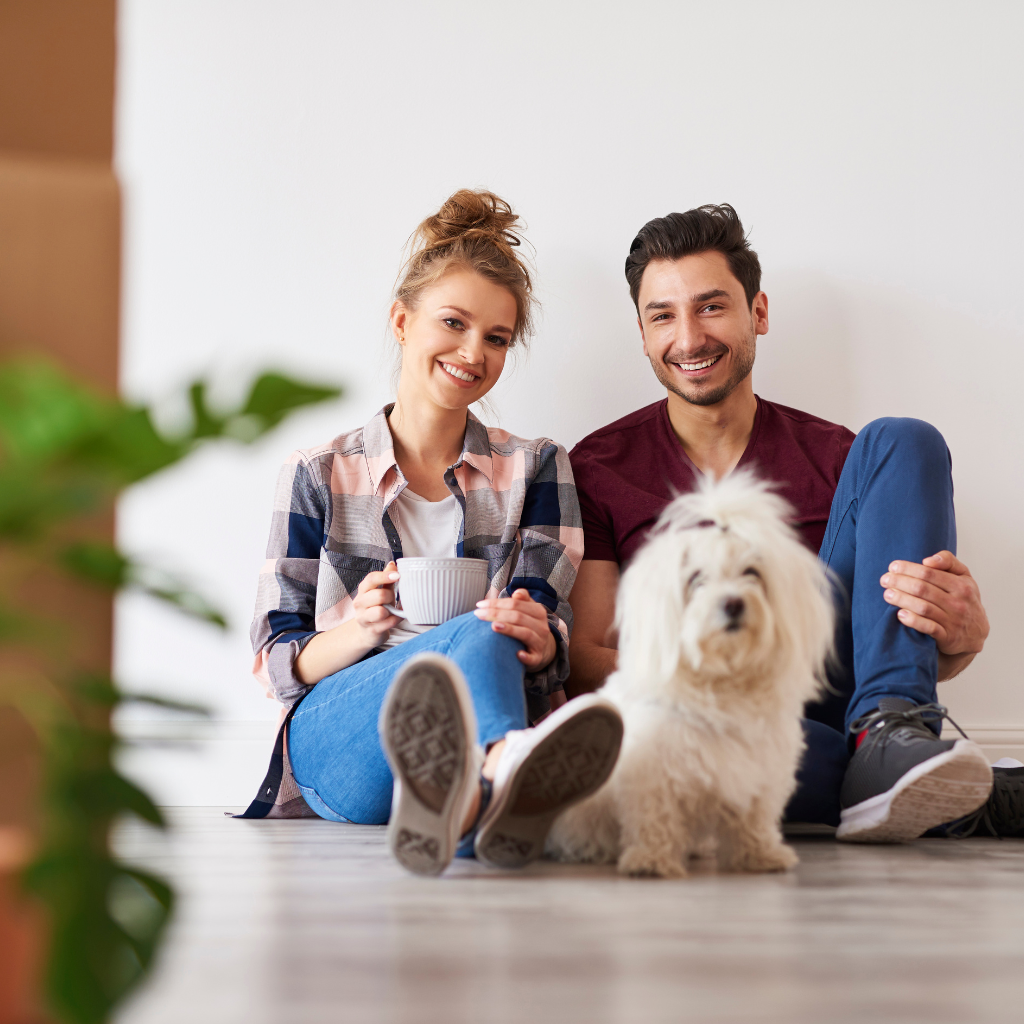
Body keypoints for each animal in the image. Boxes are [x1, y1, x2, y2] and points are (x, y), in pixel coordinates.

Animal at [548, 471, 835, 880]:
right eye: (696, 579)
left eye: (752, 573)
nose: (733, 603)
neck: (721, 678)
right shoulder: (653, 771)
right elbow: (656, 815)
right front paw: (651, 860)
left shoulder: (758, 769)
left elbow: (754, 816)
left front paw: (760, 855)